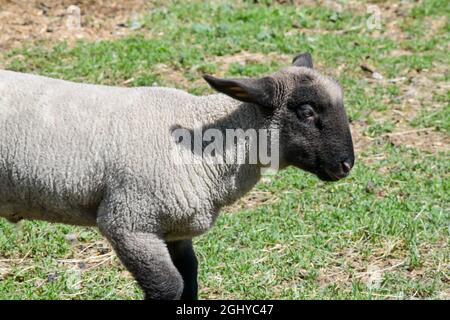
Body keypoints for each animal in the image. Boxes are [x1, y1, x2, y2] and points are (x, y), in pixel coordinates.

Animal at [0, 53, 356, 300]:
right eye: (307, 112)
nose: (345, 165)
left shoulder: (174, 227)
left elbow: (191, 277)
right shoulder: (130, 224)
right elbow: (169, 286)